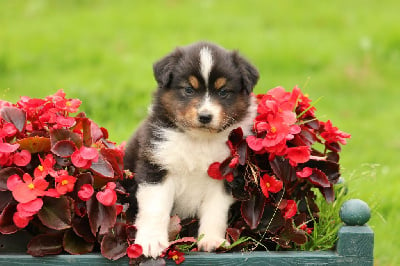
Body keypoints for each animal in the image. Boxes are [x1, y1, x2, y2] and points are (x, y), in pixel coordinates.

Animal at [123, 42, 258, 258]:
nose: (205, 116)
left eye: (223, 92)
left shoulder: (224, 176)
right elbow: (155, 208)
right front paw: (151, 243)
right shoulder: (156, 166)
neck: (199, 140)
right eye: (188, 89)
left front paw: (212, 240)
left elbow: (215, 211)